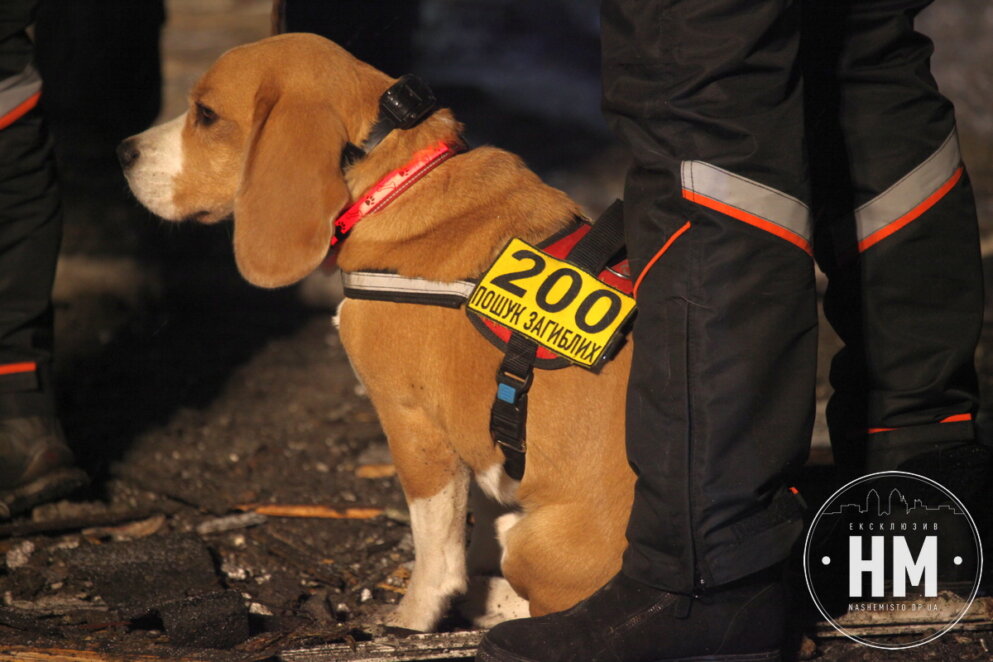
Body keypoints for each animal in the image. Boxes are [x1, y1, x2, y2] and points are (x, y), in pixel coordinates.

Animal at [120, 35, 632, 632]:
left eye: (205, 114)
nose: (123, 152)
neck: (394, 183)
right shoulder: (479, 441)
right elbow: (481, 512)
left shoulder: (412, 423)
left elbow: (436, 551)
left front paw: (414, 616)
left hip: (541, 537)